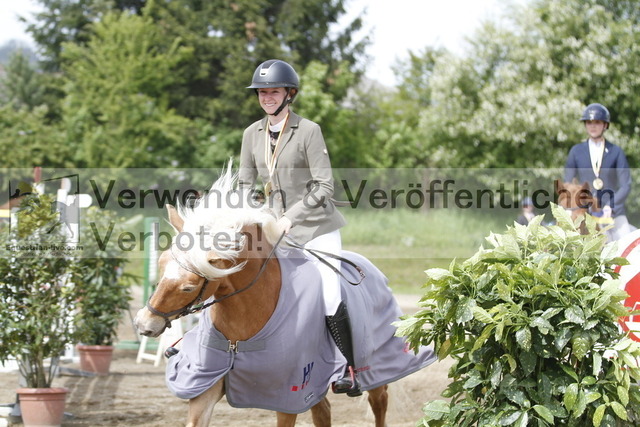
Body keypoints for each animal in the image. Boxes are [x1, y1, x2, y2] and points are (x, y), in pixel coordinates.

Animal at [134, 168, 436, 427]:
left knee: (379, 404)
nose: (144, 324)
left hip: (374, 373)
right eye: (161, 264)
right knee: (323, 412)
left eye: (188, 286)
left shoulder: (286, 396)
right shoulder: (204, 387)